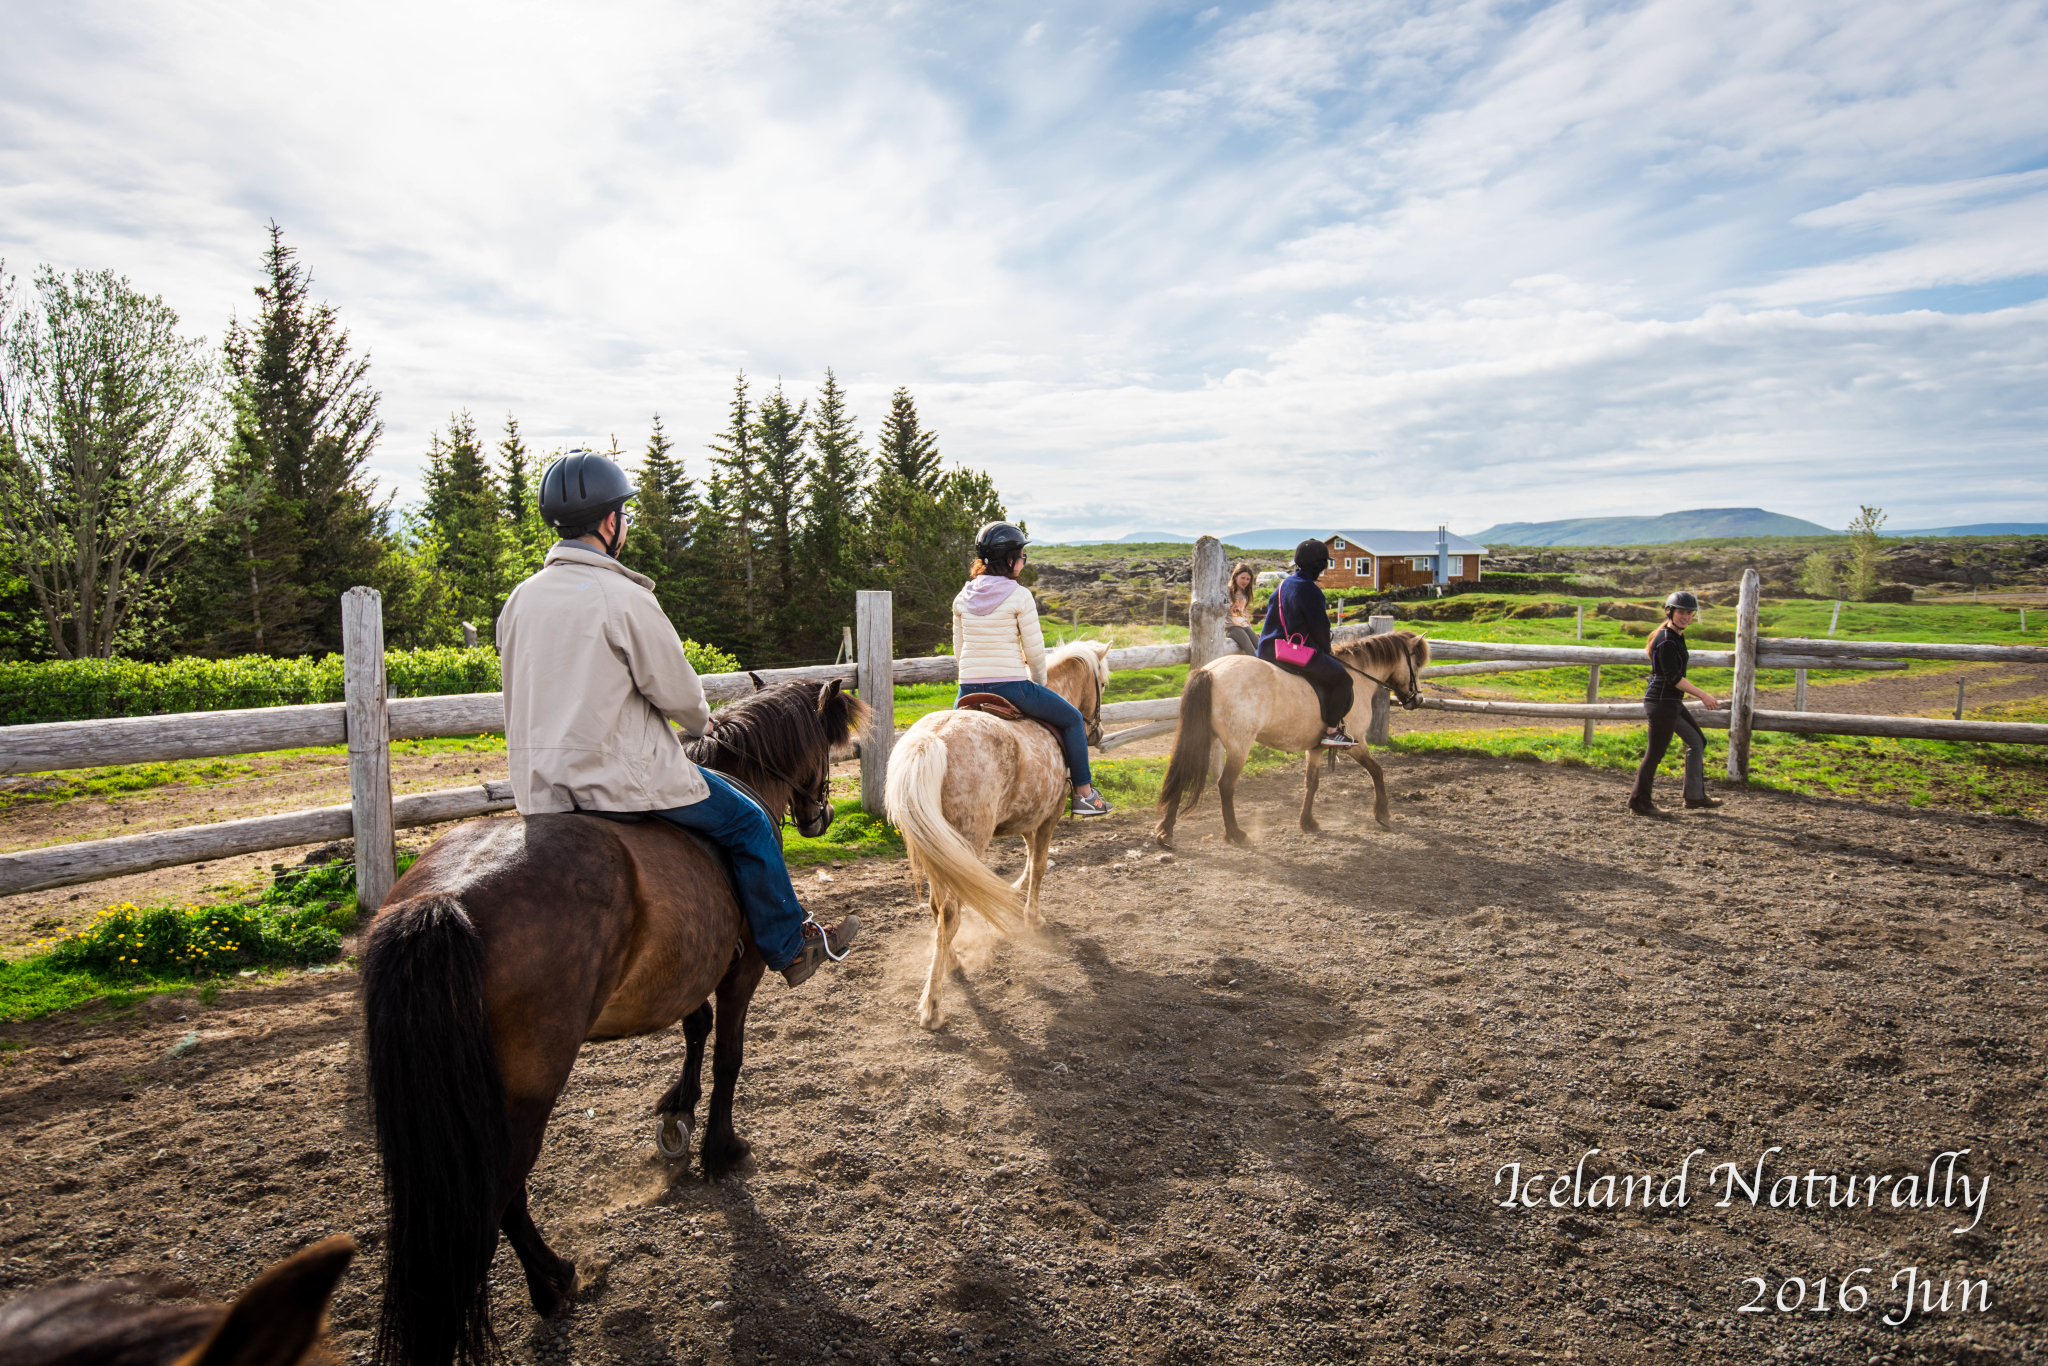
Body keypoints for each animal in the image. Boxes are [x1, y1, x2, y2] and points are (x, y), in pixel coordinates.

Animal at [356, 679, 860, 1366]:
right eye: (826, 752)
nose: (821, 816)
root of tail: (443, 900)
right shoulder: (742, 968)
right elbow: (729, 1053)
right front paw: (720, 1149)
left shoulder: (688, 965)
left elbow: (695, 1029)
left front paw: (677, 1112)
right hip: (526, 1093)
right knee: (494, 1197)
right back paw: (551, 1283)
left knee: (499, 1197)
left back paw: (551, 1279)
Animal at [880, 647, 1105, 1032]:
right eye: (1102, 683)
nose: (1097, 734)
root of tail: (934, 739)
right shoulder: (1049, 816)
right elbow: (1039, 864)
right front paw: (1032, 918)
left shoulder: (1029, 817)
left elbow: (1029, 860)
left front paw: (1014, 895)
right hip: (966, 843)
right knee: (950, 913)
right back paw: (933, 1006)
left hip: (936, 851)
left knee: (937, 909)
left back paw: (952, 962)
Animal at [1155, 634, 1425, 847]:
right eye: (1416, 665)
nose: (1417, 700)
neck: (1358, 679)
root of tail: (1209, 671)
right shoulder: (1356, 743)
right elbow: (1377, 771)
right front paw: (1383, 814)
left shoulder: (1315, 749)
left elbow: (1311, 783)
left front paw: (1307, 822)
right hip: (1239, 745)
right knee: (1226, 785)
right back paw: (1235, 834)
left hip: (1204, 736)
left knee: (1182, 772)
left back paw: (1166, 832)